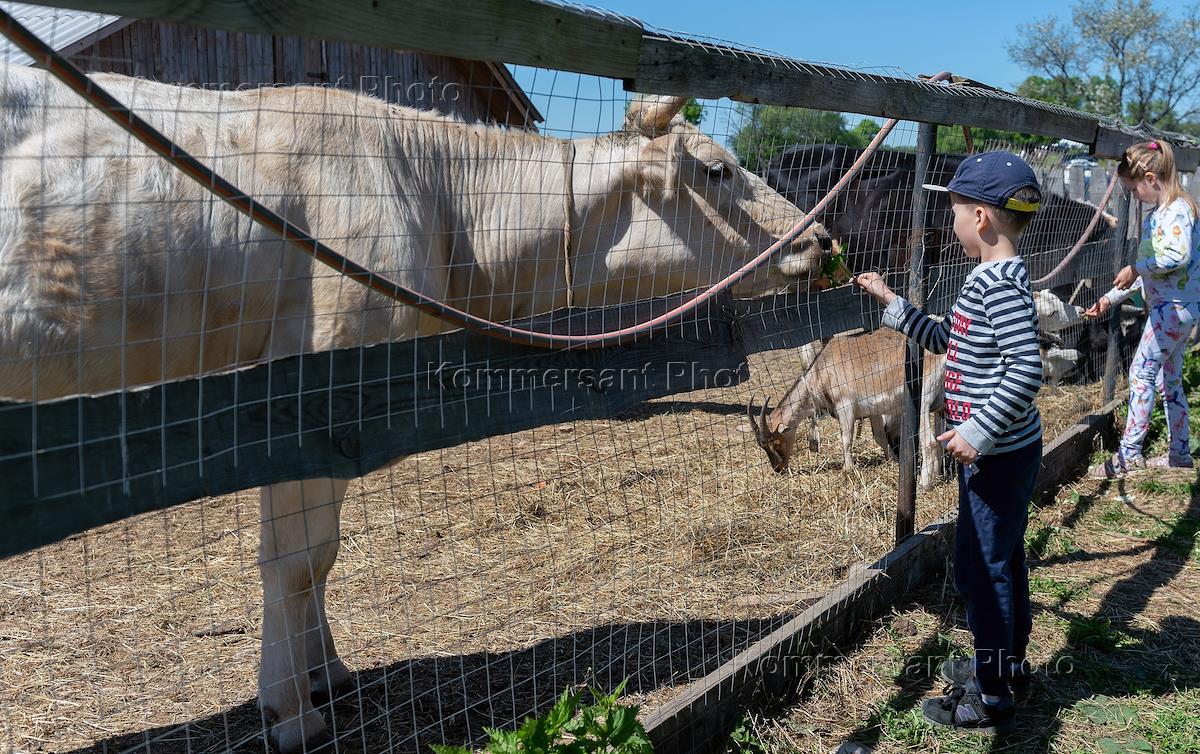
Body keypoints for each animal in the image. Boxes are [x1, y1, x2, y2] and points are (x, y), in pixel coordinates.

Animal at [0, 65, 834, 753]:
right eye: (718, 169)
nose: (822, 239)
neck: (435, 201)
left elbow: (318, 557)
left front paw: (326, 671)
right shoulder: (312, 397)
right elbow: (296, 560)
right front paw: (290, 710)